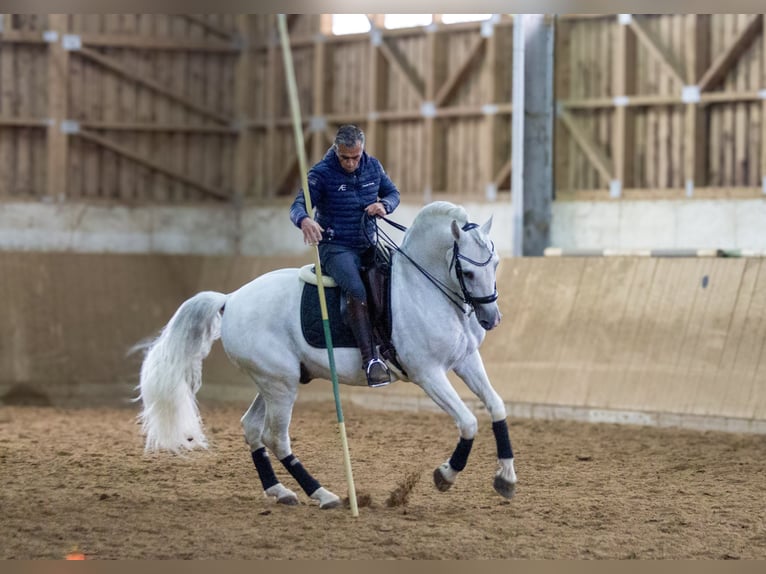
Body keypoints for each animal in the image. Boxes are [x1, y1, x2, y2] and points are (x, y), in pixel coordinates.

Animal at [140, 201, 520, 508]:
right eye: (467, 271)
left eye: (496, 264)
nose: (491, 319)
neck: (425, 287)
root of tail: (230, 299)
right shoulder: (428, 373)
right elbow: (468, 421)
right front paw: (445, 475)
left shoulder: (465, 361)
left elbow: (497, 406)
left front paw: (505, 478)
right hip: (280, 384)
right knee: (275, 437)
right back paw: (322, 494)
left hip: (275, 381)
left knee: (252, 428)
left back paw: (280, 491)